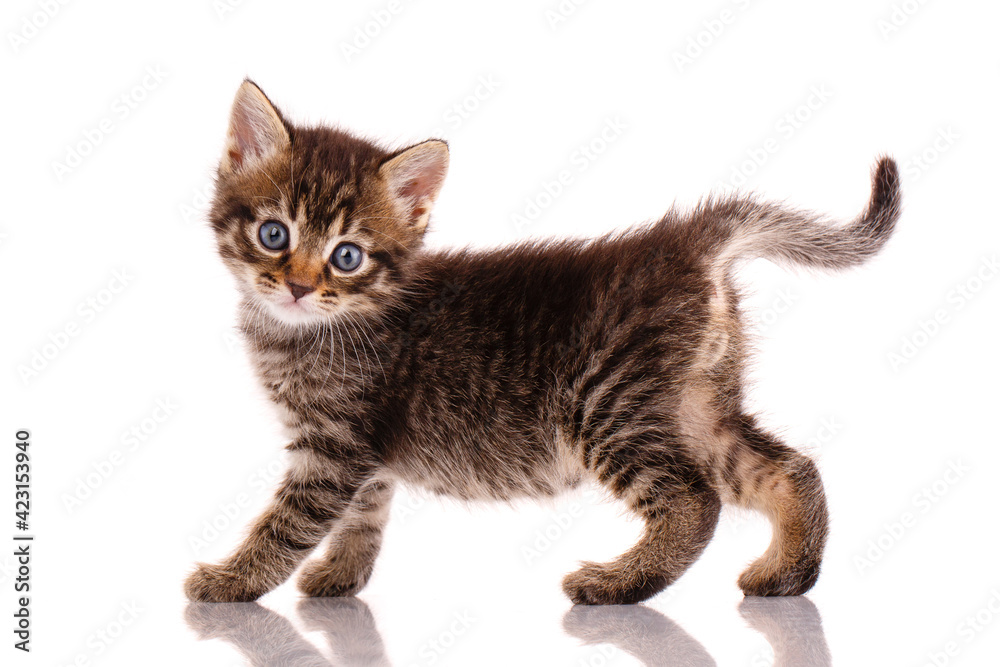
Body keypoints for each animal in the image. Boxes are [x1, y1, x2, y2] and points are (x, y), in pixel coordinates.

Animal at [184, 81, 904, 608]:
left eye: (347, 255)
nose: (299, 286)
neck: (302, 331)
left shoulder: (333, 448)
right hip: (695, 405)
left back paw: (617, 583)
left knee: (695, 499)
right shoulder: (366, 453)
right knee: (788, 469)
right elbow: (365, 515)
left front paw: (230, 580)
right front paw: (341, 577)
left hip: (606, 405)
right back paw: (787, 572)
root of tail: (680, 244)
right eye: (274, 234)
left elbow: (286, 524)